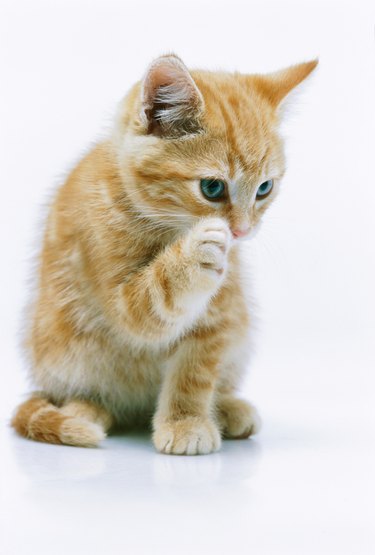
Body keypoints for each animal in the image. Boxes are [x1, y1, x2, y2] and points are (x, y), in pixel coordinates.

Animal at [11, 54, 318, 456]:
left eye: (264, 188)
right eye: (212, 188)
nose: (241, 231)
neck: (158, 224)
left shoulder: (219, 313)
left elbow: (195, 371)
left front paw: (187, 421)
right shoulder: (115, 289)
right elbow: (147, 307)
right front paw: (194, 253)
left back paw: (228, 407)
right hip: (63, 352)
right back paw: (83, 412)